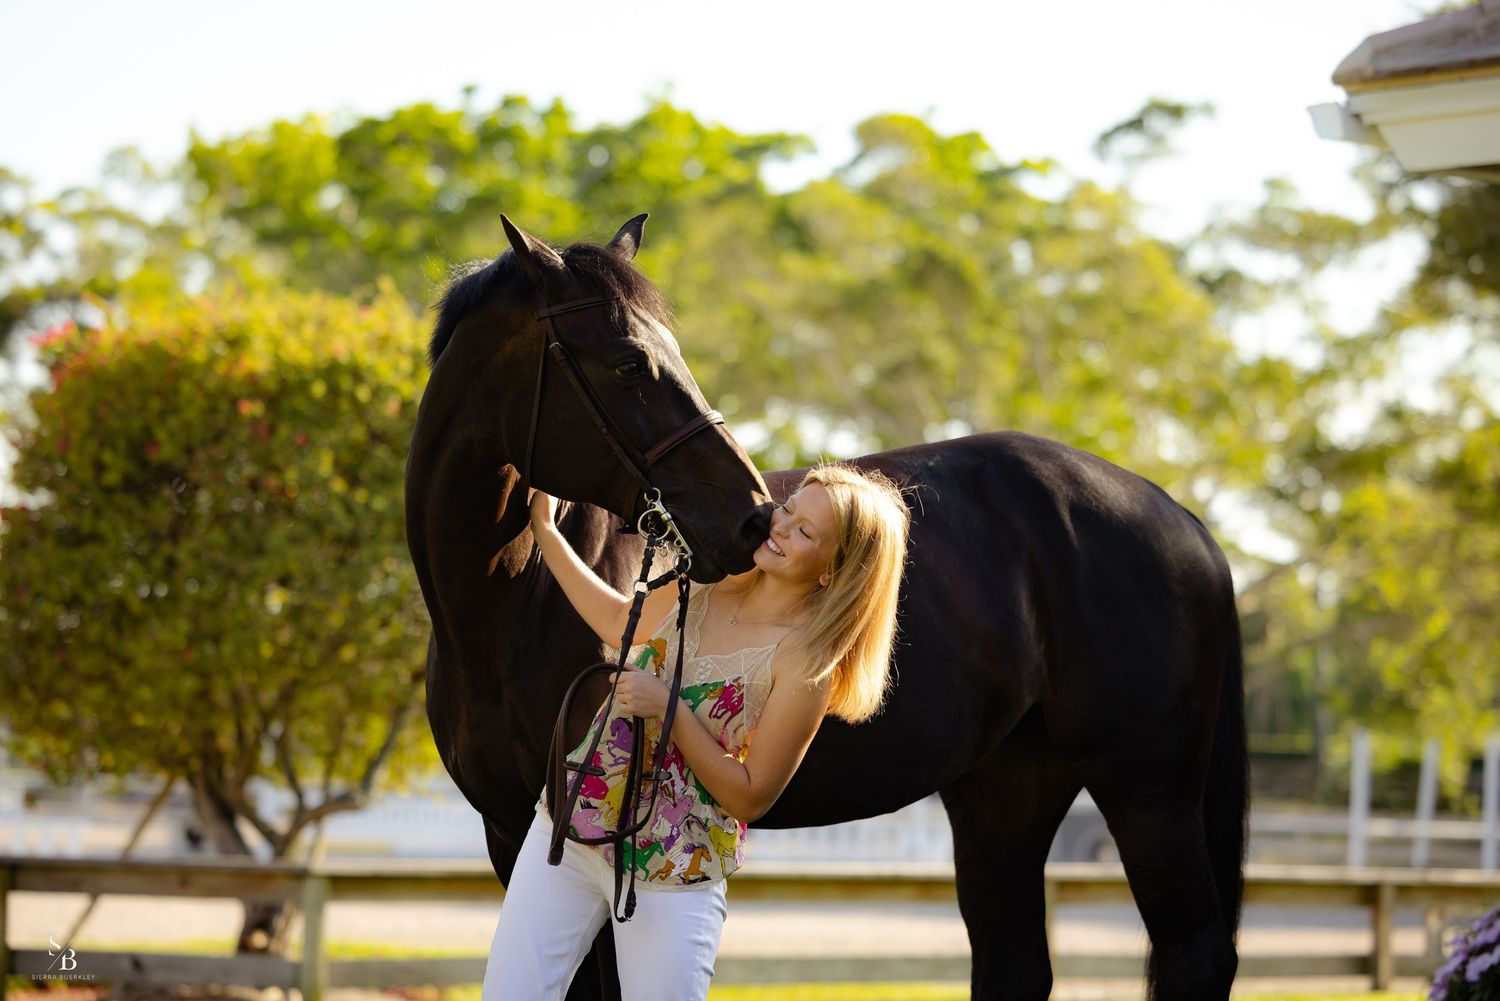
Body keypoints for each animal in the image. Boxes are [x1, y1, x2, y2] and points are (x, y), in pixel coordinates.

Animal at [404, 213, 1248, 1001]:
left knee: (1195, 952)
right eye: (627, 363)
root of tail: (1178, 517)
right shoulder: (512, 831)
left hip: (1150, 795)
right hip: (1007, 796)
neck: (512, 606)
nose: (750, 518)